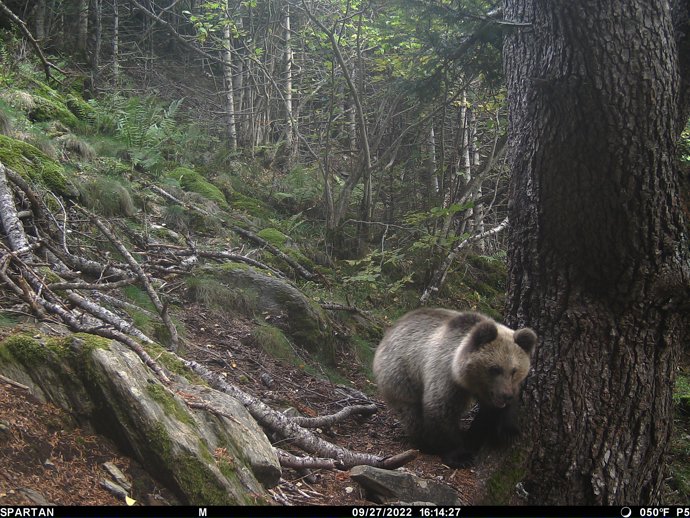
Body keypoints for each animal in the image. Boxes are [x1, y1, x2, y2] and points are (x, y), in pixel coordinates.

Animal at [372, 308, 537, 466]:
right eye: (495, 369)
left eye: (514, 370)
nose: (505, 395)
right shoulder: (446, 375)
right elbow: (442, 410)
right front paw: (460, 456)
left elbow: (494, 412)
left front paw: (507, 431)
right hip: (401, 374)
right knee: (411, 412)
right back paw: (425, 443)